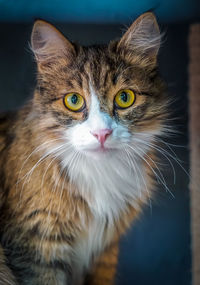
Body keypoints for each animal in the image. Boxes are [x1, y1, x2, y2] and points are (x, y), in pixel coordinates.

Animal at [0, 11, 166, 284]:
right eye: (74, 100)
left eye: (124, 98)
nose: (102, 133)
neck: (101, 175)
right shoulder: (37, 248)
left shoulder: (105, 251)